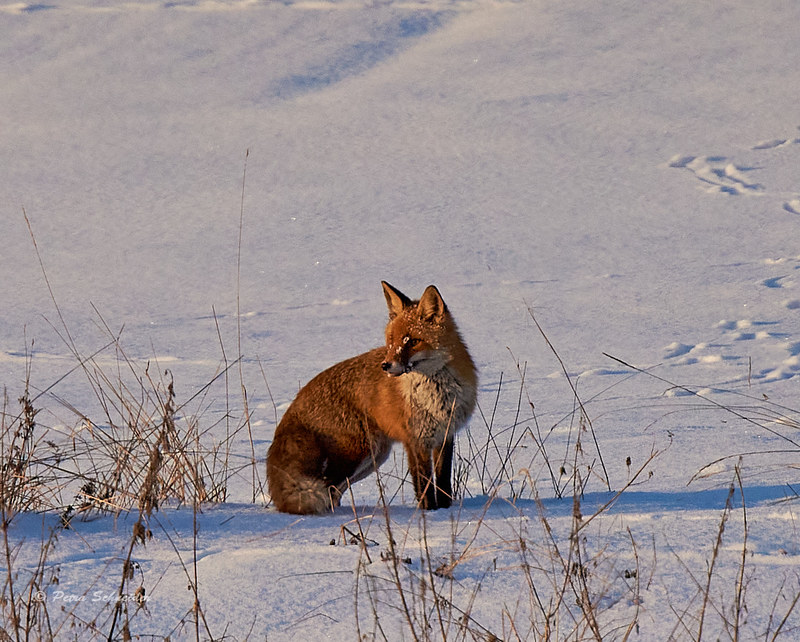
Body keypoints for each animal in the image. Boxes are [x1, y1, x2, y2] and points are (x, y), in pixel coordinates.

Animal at [268, 282, 478, 512]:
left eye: (413, 341)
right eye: (391, 341)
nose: (385, 365)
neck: (436, 395)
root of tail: (295, 404)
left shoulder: (445, 436)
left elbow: (443, 482)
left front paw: (445, 511)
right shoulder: (415, 440)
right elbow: (424, 485)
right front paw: (429, 513)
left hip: (374, 456)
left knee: (334, 491)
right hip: (360, 452)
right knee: (326, 487)